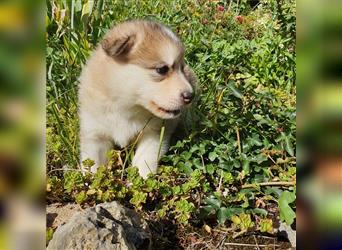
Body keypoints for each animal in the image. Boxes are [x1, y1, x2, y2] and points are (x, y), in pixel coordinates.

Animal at [77, 20, 195, 179]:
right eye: (161, 69)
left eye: (181, 68)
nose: (190, 96)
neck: (126, 107)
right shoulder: (95, 135)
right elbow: (93, 165)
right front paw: (91, 182)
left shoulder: (154, 133)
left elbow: (144, 161)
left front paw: (142, 181)